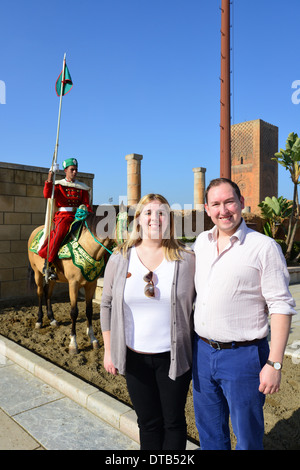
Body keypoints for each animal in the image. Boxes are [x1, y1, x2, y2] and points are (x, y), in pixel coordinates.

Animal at [26, 208, 118, 352]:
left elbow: (89, 311)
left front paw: (93, 339)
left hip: (53, 279)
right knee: (40, 293)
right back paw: (39, 320)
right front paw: (73, 343)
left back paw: (52, 319)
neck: (88, 247)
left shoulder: (91, 284)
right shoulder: (73, 284)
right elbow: (74, 312)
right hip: (37, 273)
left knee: (48, 294)